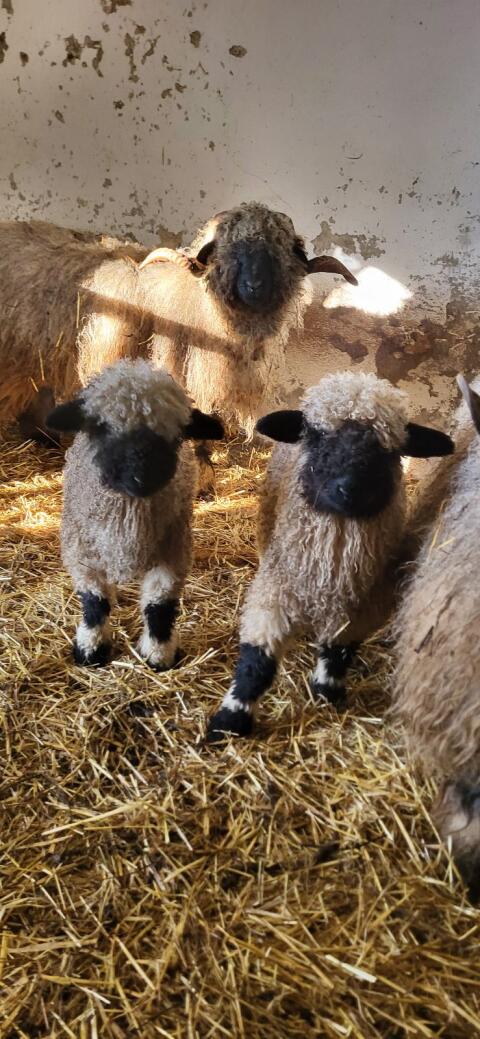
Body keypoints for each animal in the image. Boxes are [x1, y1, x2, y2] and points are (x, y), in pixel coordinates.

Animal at [46, 358, 224, 668]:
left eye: (177, 434)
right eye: (101, 428)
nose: (142, 477)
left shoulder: (172, 555)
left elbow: (159, 608)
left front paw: (159, 654)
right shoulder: (83, 555)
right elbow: (95, 604)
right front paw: (91, 649)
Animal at [206, 370, 453, 741]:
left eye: (388, 450)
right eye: (316, 435)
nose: (348, 488)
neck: (330, 567)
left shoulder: (360, 609)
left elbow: (339, 652)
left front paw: (327, 690)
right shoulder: (273, 595)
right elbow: (255, 664)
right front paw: (231, 718)